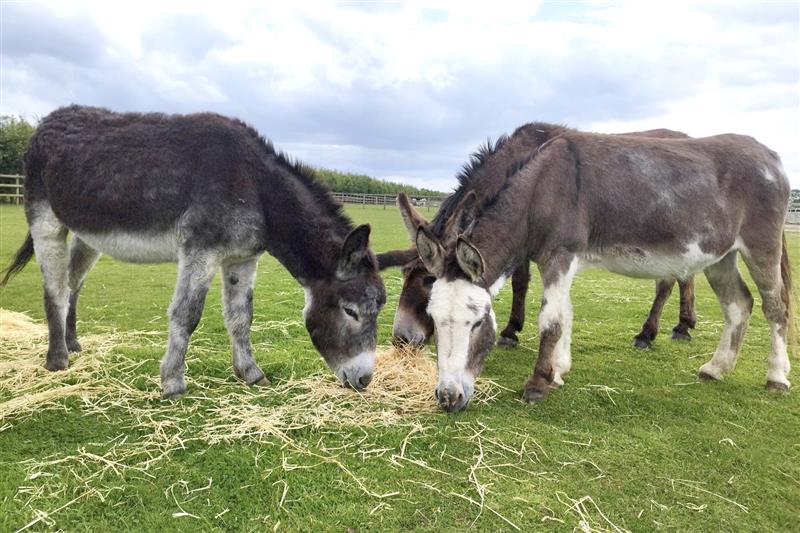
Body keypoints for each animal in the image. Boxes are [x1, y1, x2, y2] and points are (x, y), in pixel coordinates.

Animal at [1, 106, 386, 397]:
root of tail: (48, 120)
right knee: (56, 289)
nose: (364, 380)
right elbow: (187, 314)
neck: (256, 187)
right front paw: (172, 383)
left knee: (74, 284)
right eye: (351, 311)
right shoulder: (201, 249)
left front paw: (250, 373)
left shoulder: (241, 257)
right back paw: (57, 360)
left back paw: (73, 344)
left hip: (88, 235)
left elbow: (241, 317)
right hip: (46, 219)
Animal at [377, 128, 698, 351]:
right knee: (687, 276)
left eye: (430, 280)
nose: (400, 339)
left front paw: (509, 332)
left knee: (667, 283)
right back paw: (684, 325)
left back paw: (647, 333)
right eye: (404, 275)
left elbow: (520, 283)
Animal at [413, 122, 794, 412]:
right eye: (433, 319)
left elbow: (550, 321)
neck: (541, 189)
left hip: (761, 247)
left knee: (775, 307)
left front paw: (537, 383)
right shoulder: (560, 262)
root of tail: (770, 156)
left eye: (477, 323)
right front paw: (558, 372)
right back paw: (716, 369)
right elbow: (564, 315)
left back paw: (776, 377)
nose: (448, 398)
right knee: (739, 304)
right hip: (720, 256)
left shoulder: (560, 256)